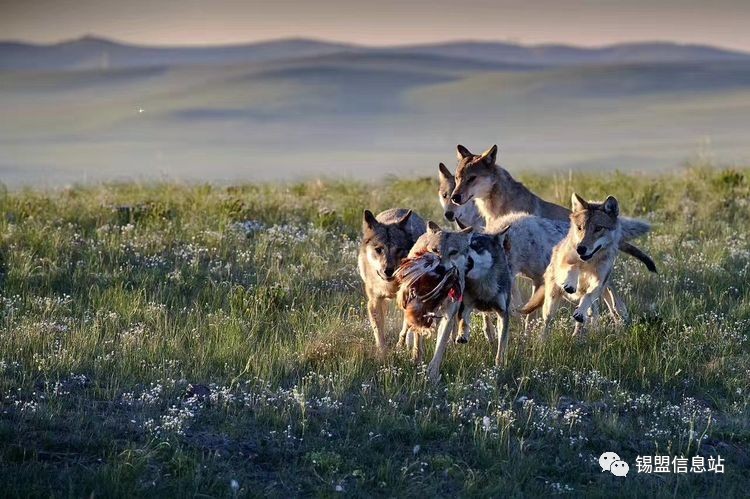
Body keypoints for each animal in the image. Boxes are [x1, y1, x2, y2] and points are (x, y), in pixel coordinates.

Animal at [524, 194, 652, 336]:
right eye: (580, 227)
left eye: (598, 228)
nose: (580, 249)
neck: (589, 262)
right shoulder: (565, 264)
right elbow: (573, 266)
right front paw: (570, 283)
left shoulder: (599, 283)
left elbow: (588, 297)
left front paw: (580, 312)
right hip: (551, 302)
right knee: (547, 323)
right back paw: (544, 339)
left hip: (603, 291)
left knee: (598, 312)